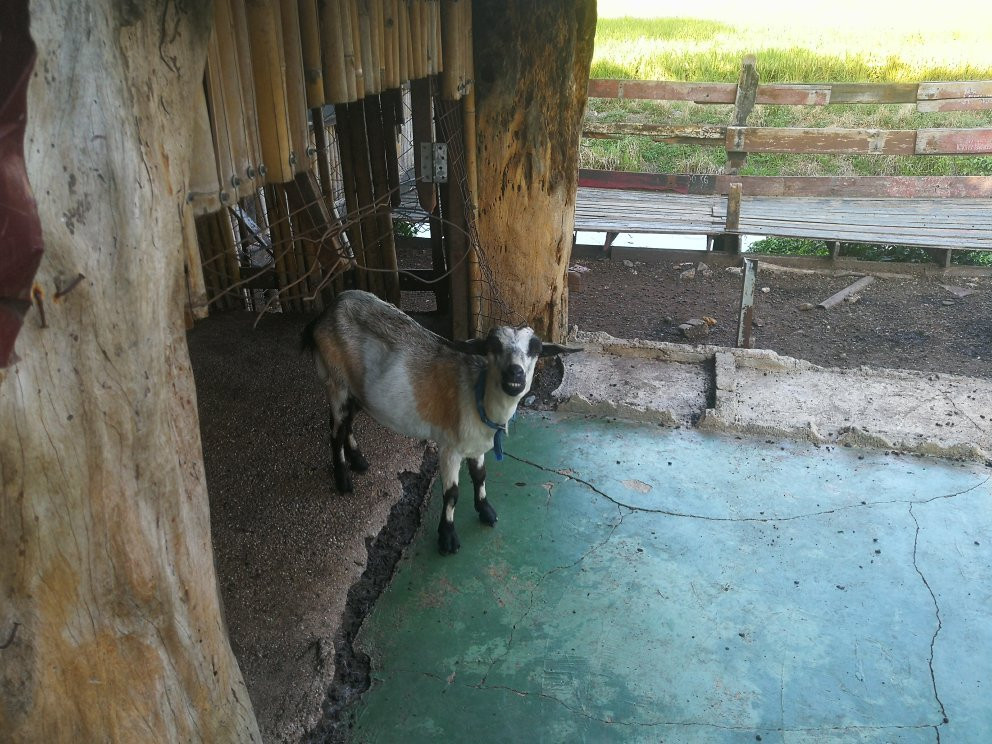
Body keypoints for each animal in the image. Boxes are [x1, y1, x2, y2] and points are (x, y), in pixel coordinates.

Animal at [298, 290, 576, 552]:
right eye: (493, 346)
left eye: (536, 349)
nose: (514, 373)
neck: (476, 394)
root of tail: (327, 311)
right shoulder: (449, 448)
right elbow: (452, 493)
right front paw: (447, 537)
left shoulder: (476, 445)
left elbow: (480, 476)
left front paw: (486, 511)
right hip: (336, 381)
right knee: (335, 430)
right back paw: (343, 480)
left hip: (355, 389)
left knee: (345, 423)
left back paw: (359, 461)